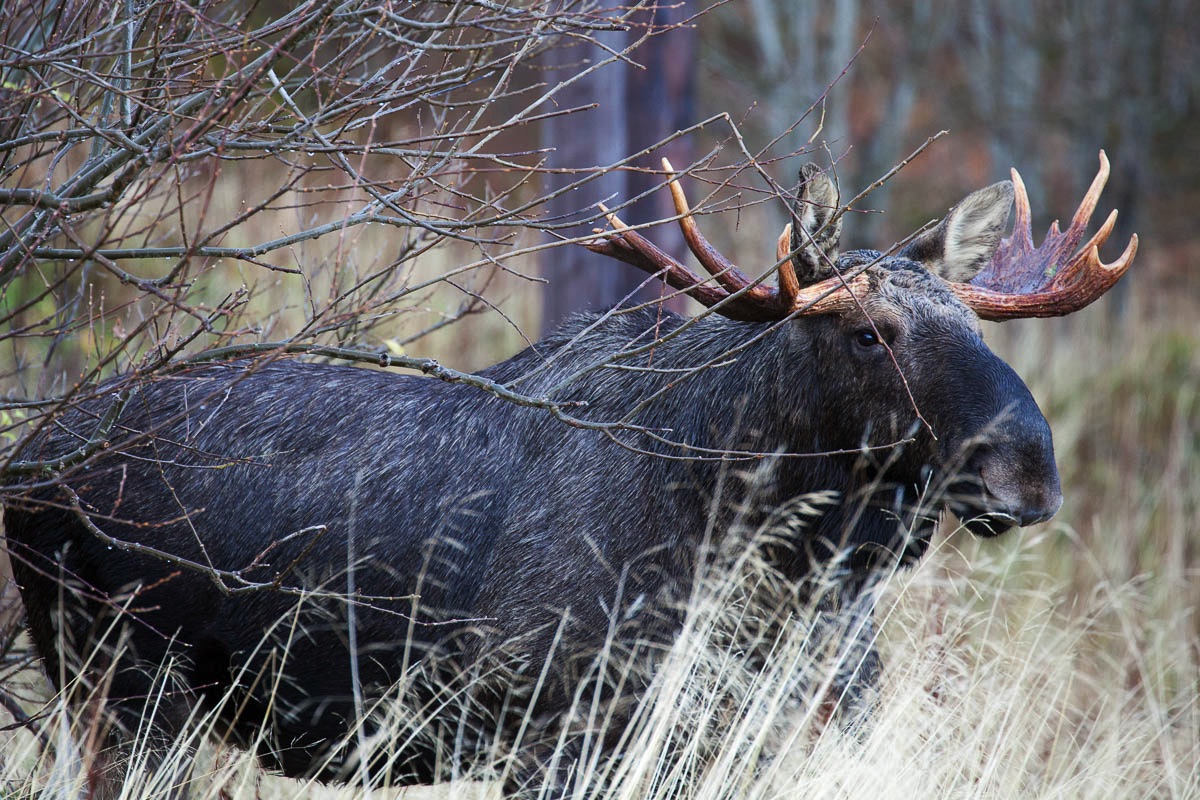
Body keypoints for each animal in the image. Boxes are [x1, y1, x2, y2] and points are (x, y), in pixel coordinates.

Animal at [2, 153, 1132, 796]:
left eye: (976, 325)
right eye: (866, 333)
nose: (1025, 473)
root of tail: (26, 464)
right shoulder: (548, 735)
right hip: (124, 690)